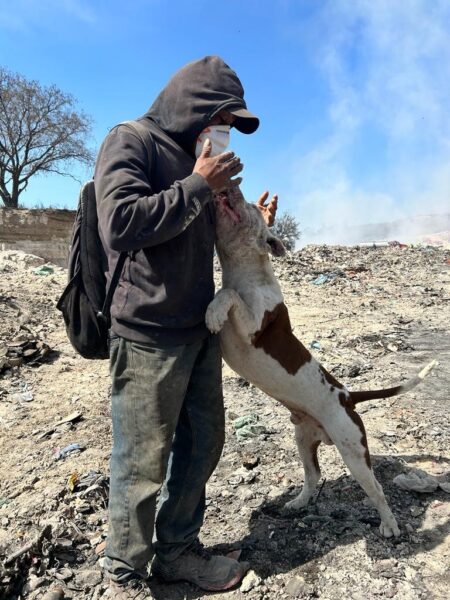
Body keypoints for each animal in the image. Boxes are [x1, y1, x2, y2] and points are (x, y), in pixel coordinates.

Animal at [206, 187, 436, 538]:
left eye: (248, 206)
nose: (232, 188)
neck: (246, 272)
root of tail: (348, 396)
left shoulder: (252, 327)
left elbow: (228, 295)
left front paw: (213, 312)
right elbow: (227, 293)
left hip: (352, 449)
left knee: (376, 489)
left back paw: (390, 525)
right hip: (304, 438)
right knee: (313, 475)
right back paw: (299, 503)